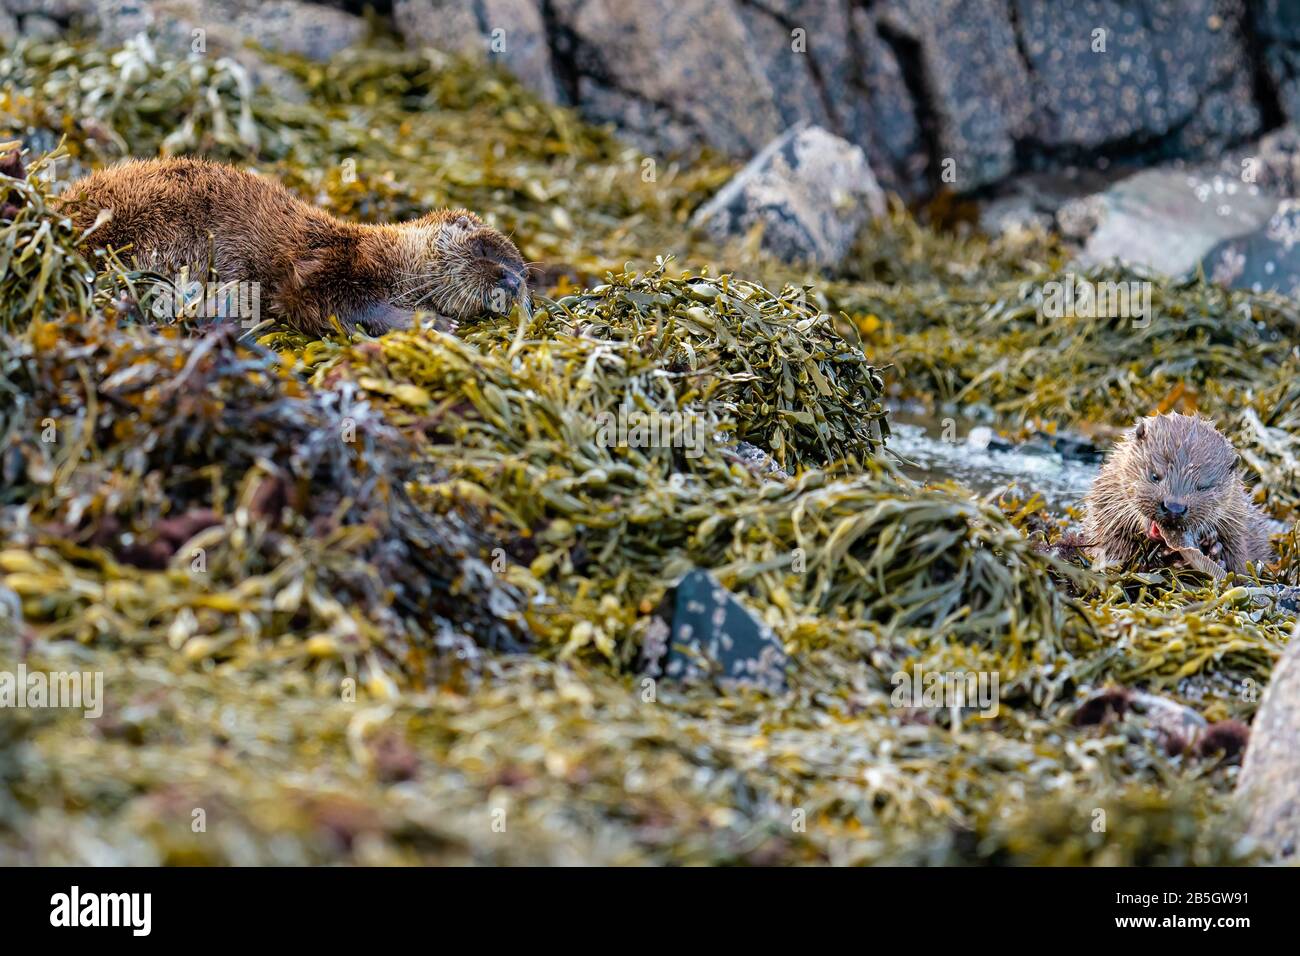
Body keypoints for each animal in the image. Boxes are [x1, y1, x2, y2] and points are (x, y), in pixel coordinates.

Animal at [54, 157, 529, 336]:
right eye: (487, 253)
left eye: (525, 275)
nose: (513, 282)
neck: (392, 263)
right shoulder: (326, 264)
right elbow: (324, 302)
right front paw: (430, 321)